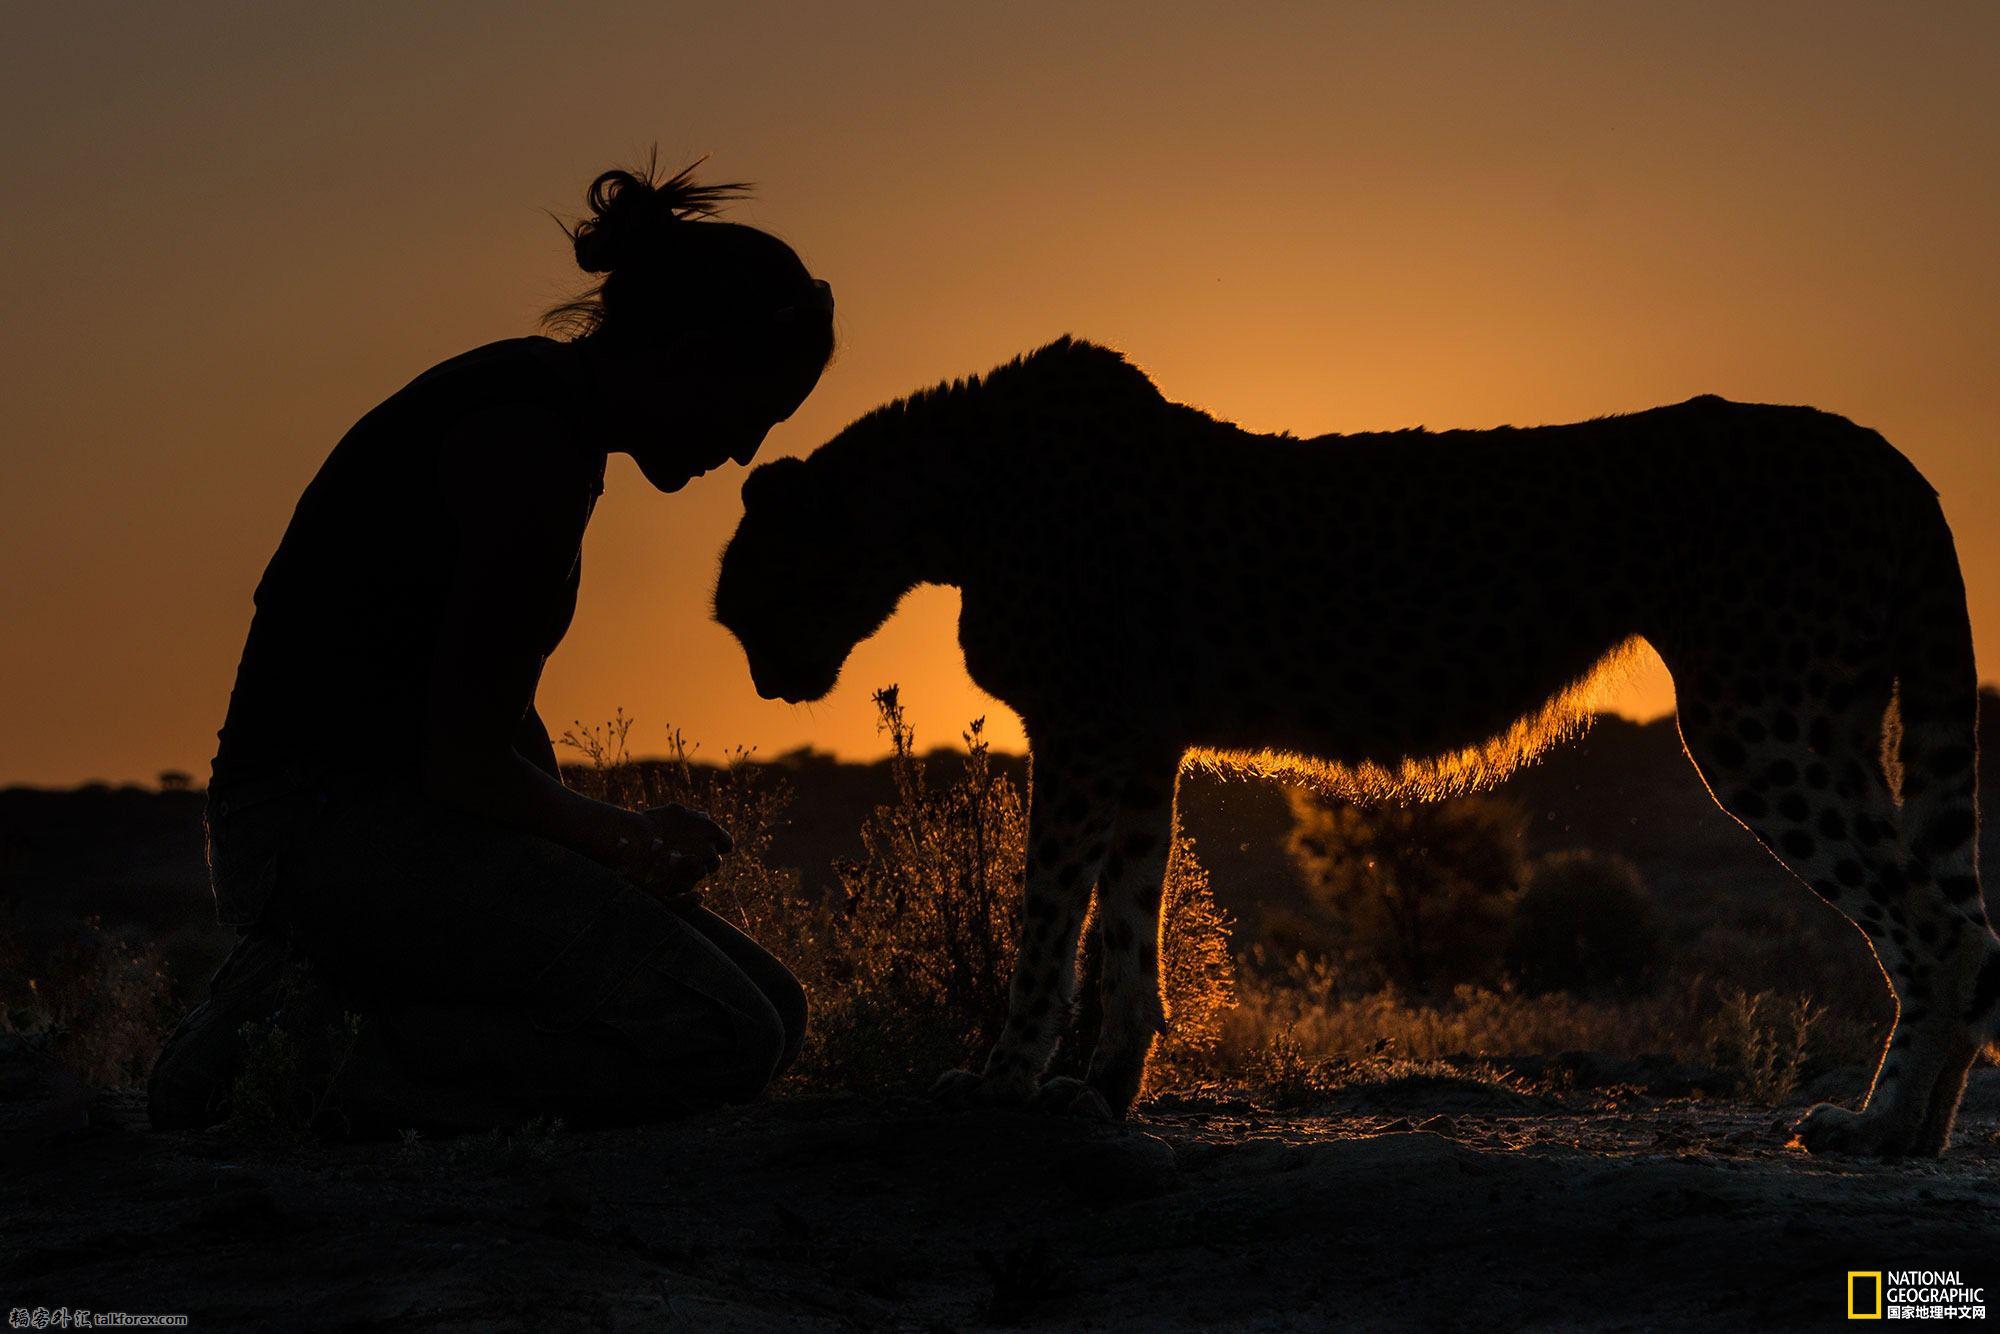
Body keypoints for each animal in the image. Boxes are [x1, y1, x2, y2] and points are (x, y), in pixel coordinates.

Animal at [712, 336, 1992, 1160]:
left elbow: (1043, 918)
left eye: (742, 596)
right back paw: (1916, 1132)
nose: (765, 681)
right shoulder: (1137, 741)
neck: (956, 493)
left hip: (1759, 720)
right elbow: (1127, 924)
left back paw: (1878, 1125)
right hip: (1828, 716)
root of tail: (1874, 445)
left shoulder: (1080, 731)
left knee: (1933, 926)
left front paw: (1000, 1081)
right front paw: (1097, 1087)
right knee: (1962, 925)